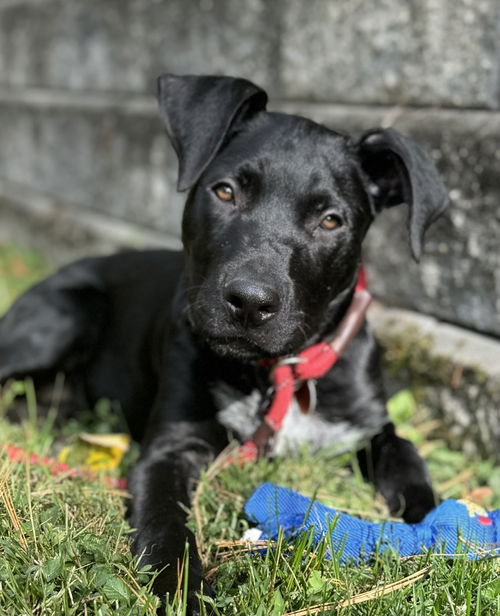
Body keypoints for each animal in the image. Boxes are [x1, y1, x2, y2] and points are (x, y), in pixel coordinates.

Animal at [0, 73, 450, 612]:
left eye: (330, 220)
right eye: (225, 191)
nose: (250, 302)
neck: (274, 373)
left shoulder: (367, 425)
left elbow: (406, 453)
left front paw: (437, 526)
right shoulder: (171, 448)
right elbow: (165, 523)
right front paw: (186, 591)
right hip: (64, 315)